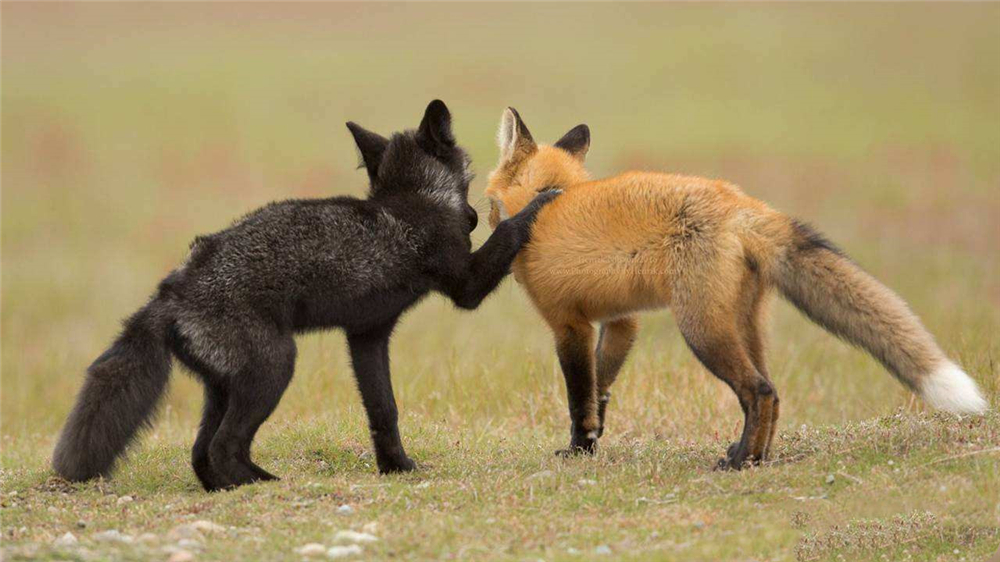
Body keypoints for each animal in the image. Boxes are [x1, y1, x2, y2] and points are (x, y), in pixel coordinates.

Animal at [54, 100, 560, 490]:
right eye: (470, 183)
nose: (472, 219)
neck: (412, 198)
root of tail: (170, 290)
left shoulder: (367, 335)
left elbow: (384, 411)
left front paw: (396, 467)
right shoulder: (464, 285)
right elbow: (510, 231)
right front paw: (543, 200)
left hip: (223, 388)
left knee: (200, 454)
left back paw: (230, 488)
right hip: (274, 368)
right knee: (222, 447)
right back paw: (260, 485)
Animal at [482, 107, 984, 466]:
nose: (482, 219)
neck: (544, 202)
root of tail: (739, 203)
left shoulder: (568, 325)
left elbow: (579, 395)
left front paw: (579, 447)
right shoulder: (621, 321)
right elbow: (601, 388)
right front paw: (592, 440)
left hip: (701, 329)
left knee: (758, 390)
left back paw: (740, 460)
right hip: (743, 326)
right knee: (772, 393)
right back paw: (757, 456)